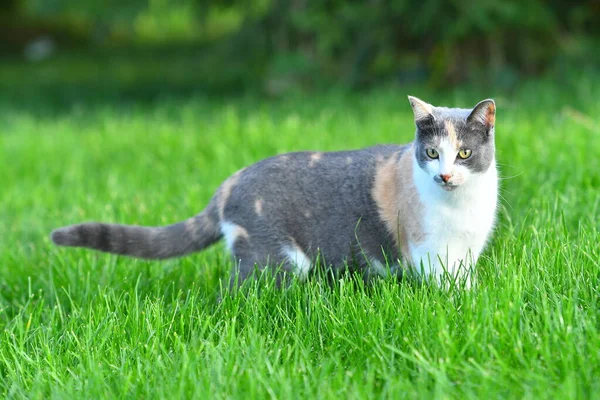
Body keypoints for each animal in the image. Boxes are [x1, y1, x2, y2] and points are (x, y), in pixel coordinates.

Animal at [50, 95, 496, 290]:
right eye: (432, 153)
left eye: (465, 153)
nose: (445, 175)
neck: (462, 207)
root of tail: (230, 181)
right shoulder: (428, 250)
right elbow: (442, 284)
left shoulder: (466, 251)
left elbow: (464, 280)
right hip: (273, 257)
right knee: (237, 293)